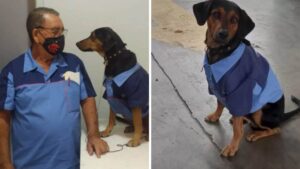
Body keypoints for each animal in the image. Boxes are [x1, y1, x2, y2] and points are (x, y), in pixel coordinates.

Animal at [192, 0, 300, 156]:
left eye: (234, 20)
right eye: (216, 14)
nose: (223, 34)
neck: (222, 51)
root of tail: (281, 115)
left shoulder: (239, 93)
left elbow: (237, 131)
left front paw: (232, 147)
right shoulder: (217, 86)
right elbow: (220, 104)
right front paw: (215, 116)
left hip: (259, 112)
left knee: (275, 128)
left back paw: (256, 133)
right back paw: (242, 118)